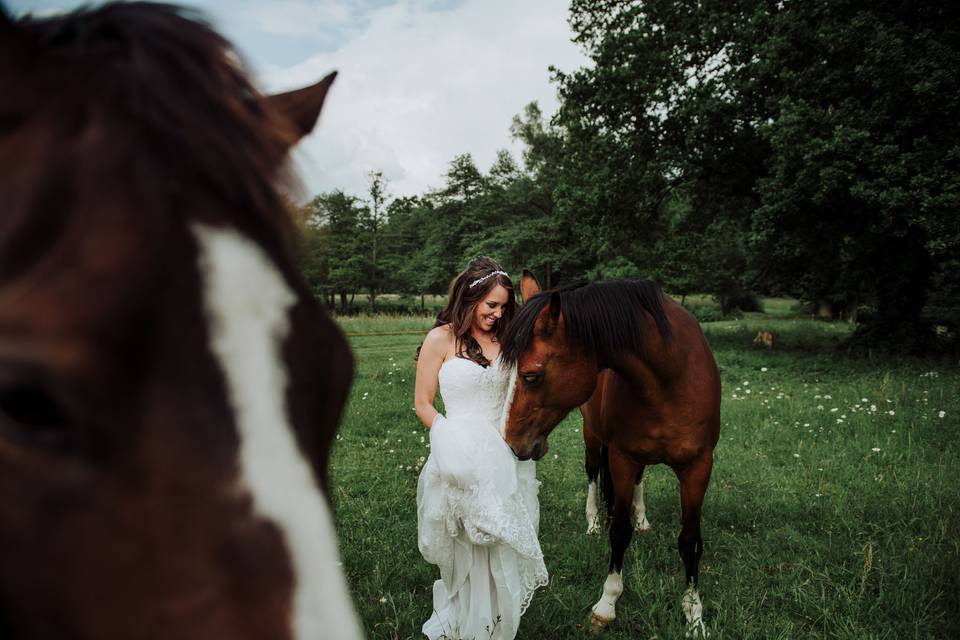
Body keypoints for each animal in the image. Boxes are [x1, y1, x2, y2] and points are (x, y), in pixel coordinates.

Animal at [502, 274, 720, 636]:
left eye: (531, 376)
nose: (511, 442)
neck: (670, 377)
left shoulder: (698, 466)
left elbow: (690, 540)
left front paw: (694, 614)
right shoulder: (622, 459)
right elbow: (618, 531)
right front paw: (607, 604)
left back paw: (642, 519)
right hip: (593, 439)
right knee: (592, 474)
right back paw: (592, 522)